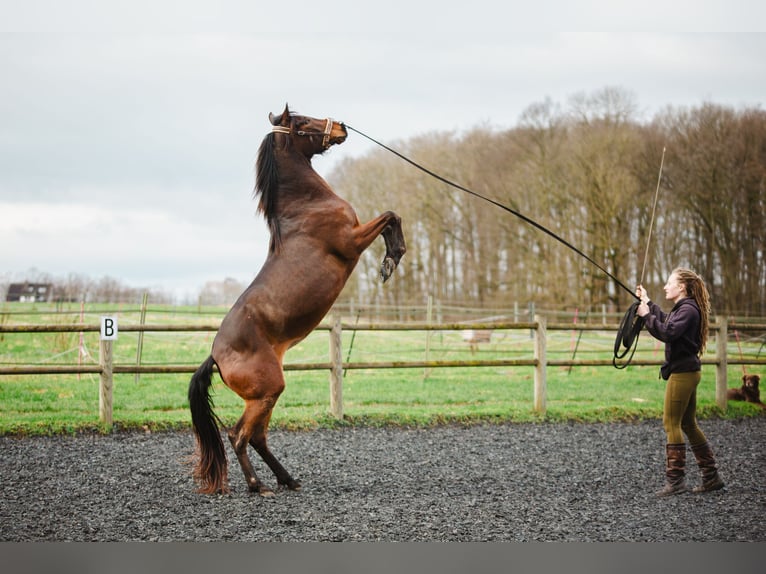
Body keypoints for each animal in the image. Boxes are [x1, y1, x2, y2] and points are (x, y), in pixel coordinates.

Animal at [189, 106, 408, 498]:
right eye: (304, 121)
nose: (342, 128)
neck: (307, 207)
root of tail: (216, 355)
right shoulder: (351, 241)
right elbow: (389, 215)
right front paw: (392, 259)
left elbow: (390, 216)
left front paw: (391, 259)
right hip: (267, 391)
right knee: (239, 435)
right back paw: (258, 485)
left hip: (266, 396)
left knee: (258, 437)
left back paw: (287, 479)